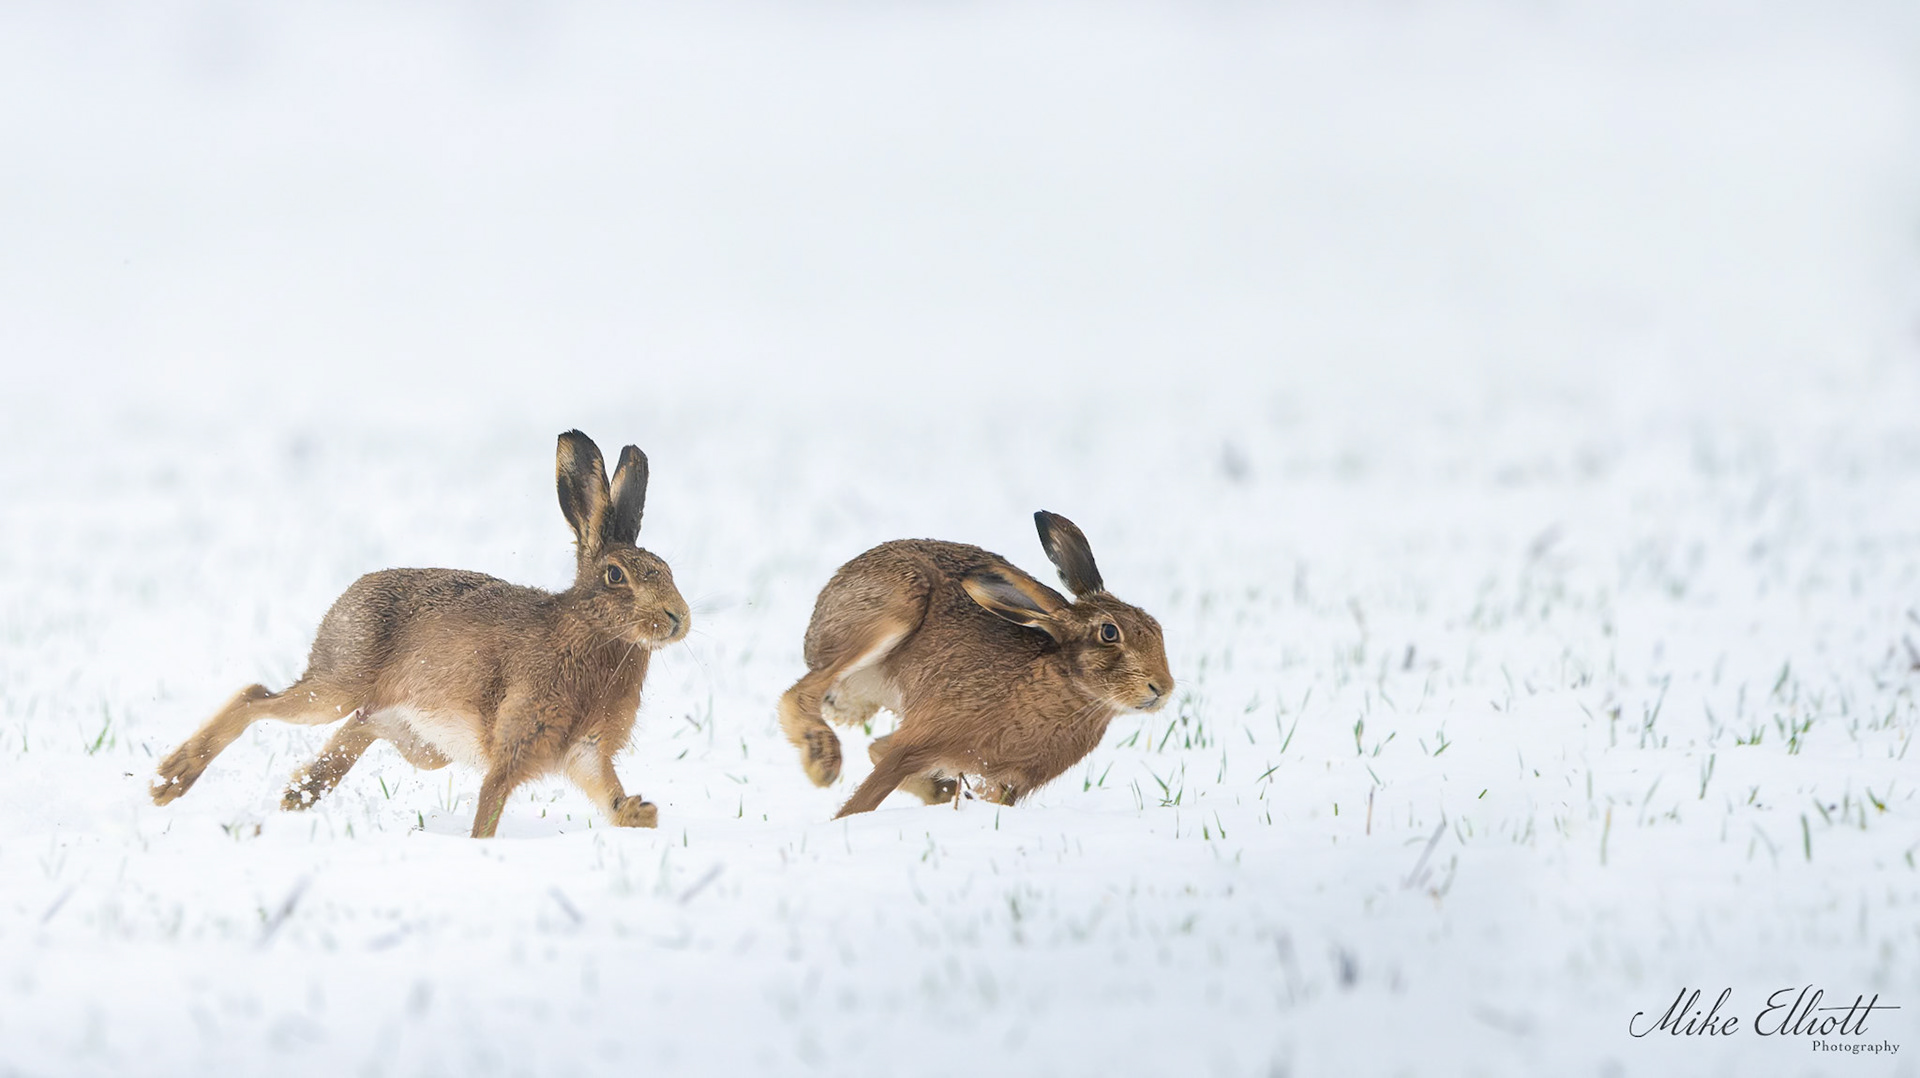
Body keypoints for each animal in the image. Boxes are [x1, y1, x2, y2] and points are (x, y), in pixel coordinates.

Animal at [151, 430, 691, 838]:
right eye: (616, 575)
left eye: (667, 569)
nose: (679, 618)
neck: (592, 633)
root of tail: (347, 598)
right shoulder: (517, 740)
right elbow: (490, 801)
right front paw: (479, 848)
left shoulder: (585, 752)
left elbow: (607, 792)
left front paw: (639, 814)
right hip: (337, 687)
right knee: (255, 696)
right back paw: (172, 780)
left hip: (416, 739)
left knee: (353, 731)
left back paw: (295, 796)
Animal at [778, 510, 1173, 818]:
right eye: (1109, 633)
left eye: (1156, 628)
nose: (1163, 688)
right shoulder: (918, 741)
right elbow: (865, 799)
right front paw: (842, 822)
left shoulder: (1007, 783)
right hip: (894, 608)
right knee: (802, 692)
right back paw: (822, 763)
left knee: (872, 742)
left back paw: (939, 794)